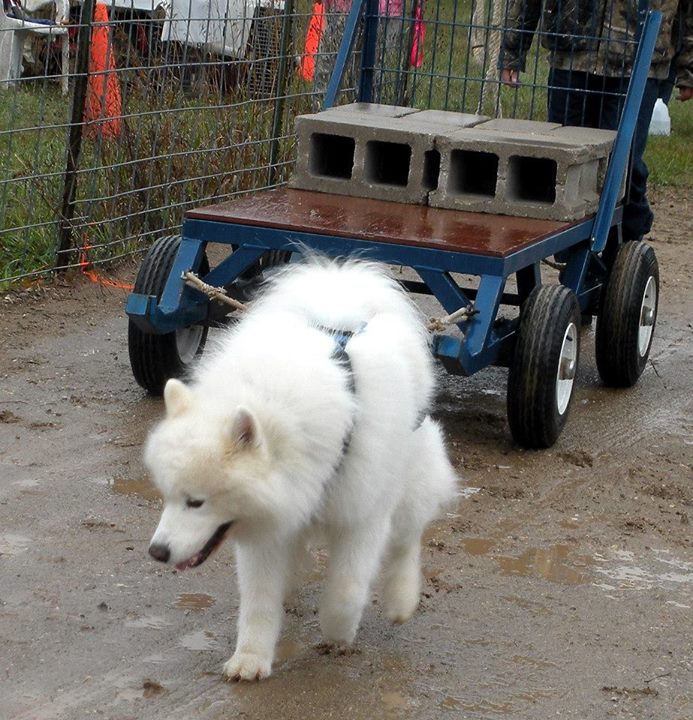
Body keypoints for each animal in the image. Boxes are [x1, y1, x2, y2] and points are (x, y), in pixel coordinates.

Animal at [145, 258, 456, 680]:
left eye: (196, 502)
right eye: (167, 498)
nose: (157, 552)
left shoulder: (362, 515)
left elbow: (346, 590)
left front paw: (337, 632)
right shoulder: (265, 528)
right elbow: (258, 600)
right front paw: (251, 657)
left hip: (409, 482)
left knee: (407, 540)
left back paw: (401, 599)